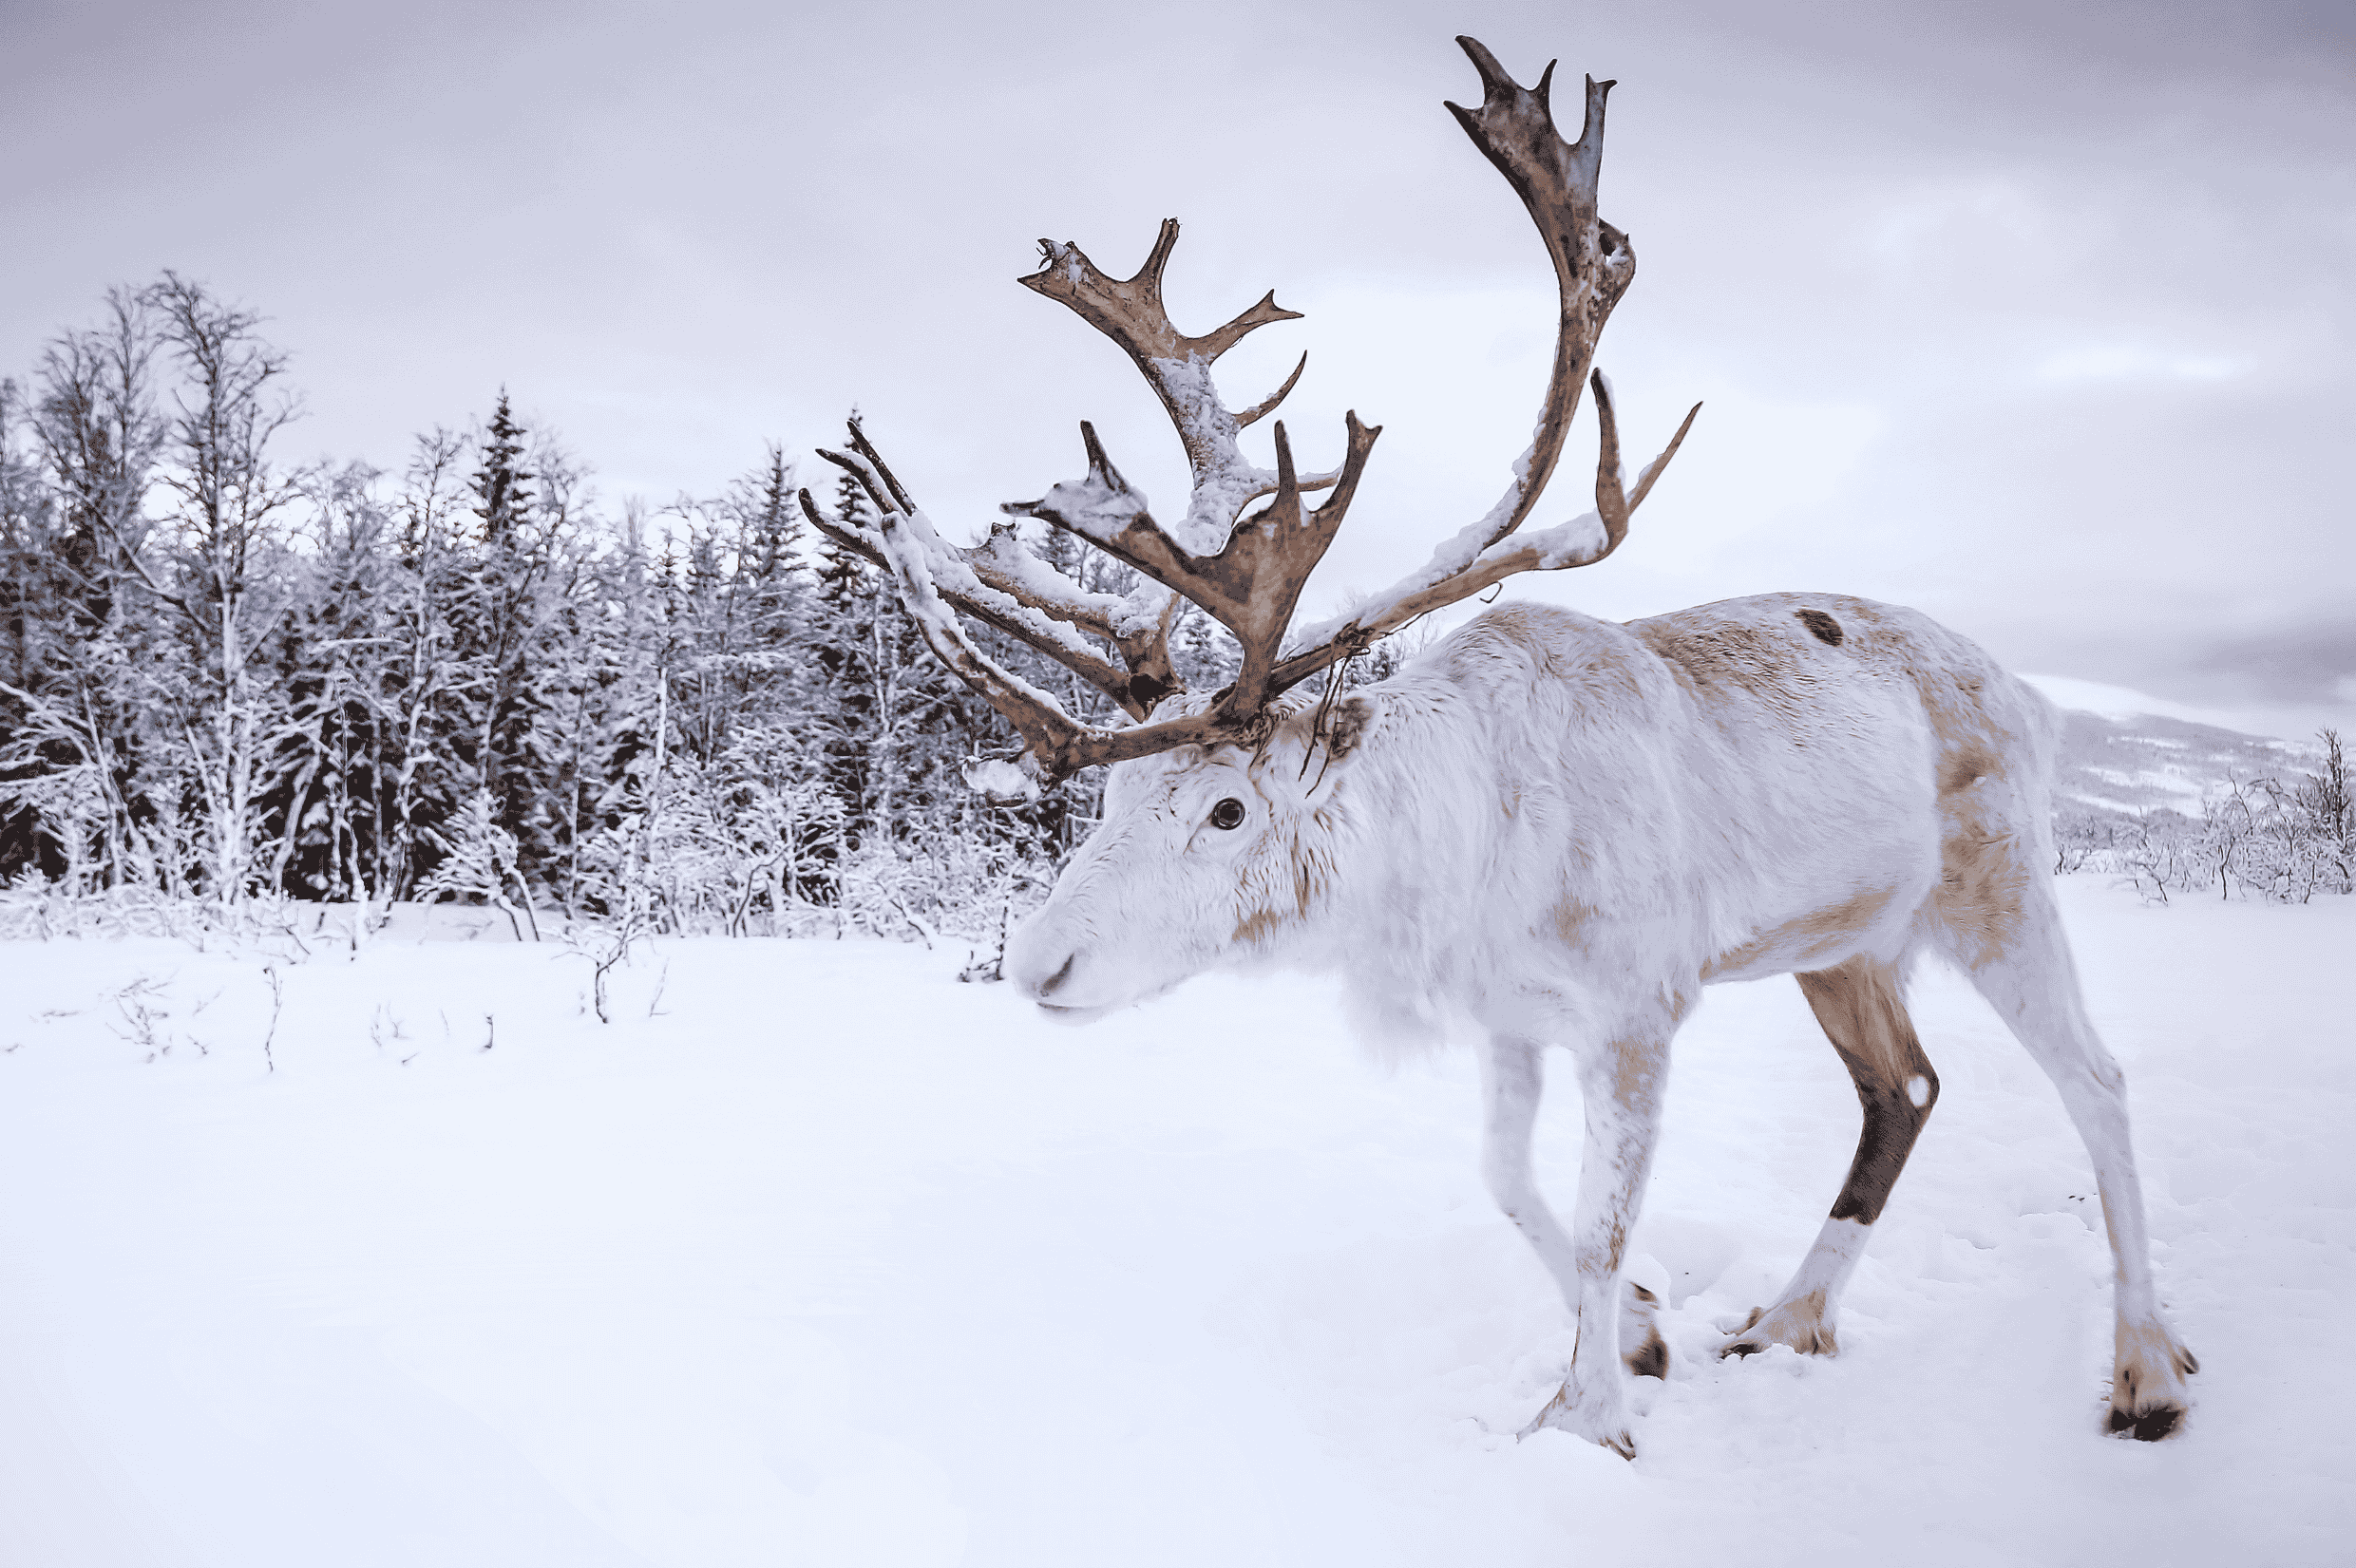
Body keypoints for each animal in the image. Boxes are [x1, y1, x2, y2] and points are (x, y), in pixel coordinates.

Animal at [800, 36, 2198, 1457]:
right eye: (1111, 797)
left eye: (1228, 808)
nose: (1036, 960)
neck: (1462, 857)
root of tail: (2028, 693)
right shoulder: (1511, 1018)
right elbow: (1509, 1183)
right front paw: (1638, 1333)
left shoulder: (1639, 1010)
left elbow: (1594, 1217)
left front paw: (1585, 1420)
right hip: (1842, 940)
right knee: (1902, 1088)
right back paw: (1791, 1315)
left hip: (1999, 885)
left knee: (2097, 1075)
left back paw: (2144, 1367)